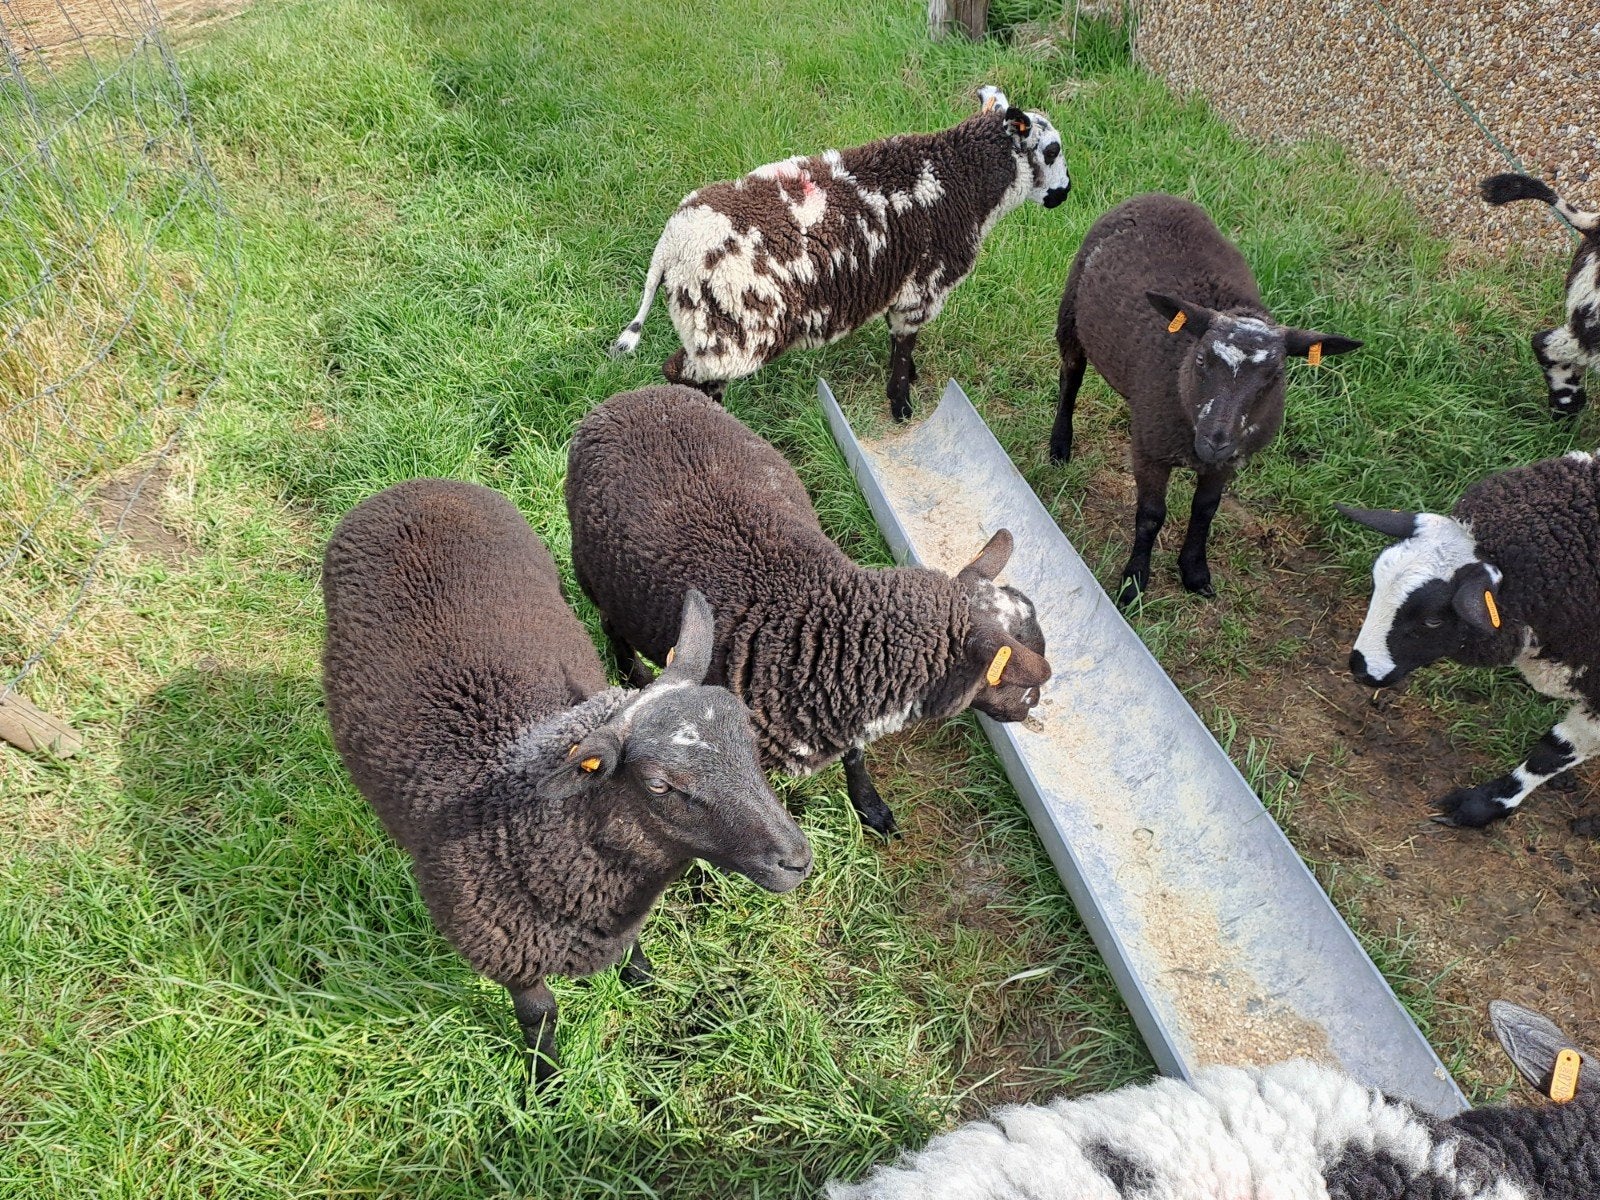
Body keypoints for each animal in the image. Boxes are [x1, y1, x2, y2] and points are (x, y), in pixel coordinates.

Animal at [321, 478, 813, 1081]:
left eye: (748, 738)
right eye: (658, 785)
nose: (797, 860)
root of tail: (415, 486)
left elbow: (631, 954)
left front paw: (646, 983)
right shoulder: (509, 955)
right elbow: (540, 1017)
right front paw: (547, 1081)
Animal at [564, 384, 1052, 838]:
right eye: (1008, 675)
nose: (1031, 709)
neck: (827, 632)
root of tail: (636, 394)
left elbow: (855, 757)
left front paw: (870, 807)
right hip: (591, 569)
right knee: (611, 625)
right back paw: (635, 675)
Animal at [608, 85, 1071, 421]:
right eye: (1052, 150)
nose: (1064, 194)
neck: (964, 179)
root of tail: (670, 245)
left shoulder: (898, 286)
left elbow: (901, 343)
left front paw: (911, 378)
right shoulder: (923, 289)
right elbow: (903, 346)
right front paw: (901, 407)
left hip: (707, 327)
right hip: (729, 333)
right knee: (685, 374)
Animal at [1050, 193, 1362, 607]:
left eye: (1274, 378)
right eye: (1201, 360)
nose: (1215, 441)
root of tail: (1160, 196)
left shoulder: (1229, 462)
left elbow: (1205, 511)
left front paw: (1195, 572)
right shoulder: (1149, 447)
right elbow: (1151, 515)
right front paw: (1134, 583)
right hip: (1071, 313)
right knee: (1071, 376)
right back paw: (1059, 445)